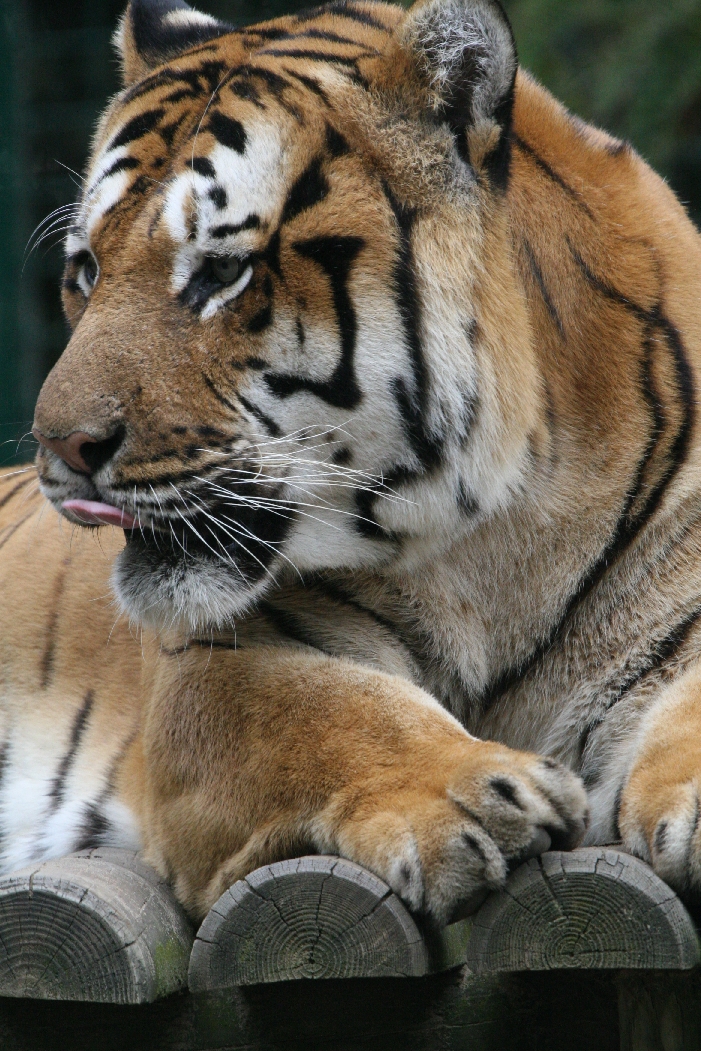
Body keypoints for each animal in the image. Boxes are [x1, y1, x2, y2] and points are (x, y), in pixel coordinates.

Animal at [1, 0, 700, 926]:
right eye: (86, 269)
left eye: (220, 272)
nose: (59, 446)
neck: (497, 540)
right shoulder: (208, 668)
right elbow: (329, 712)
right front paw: (472, 794)